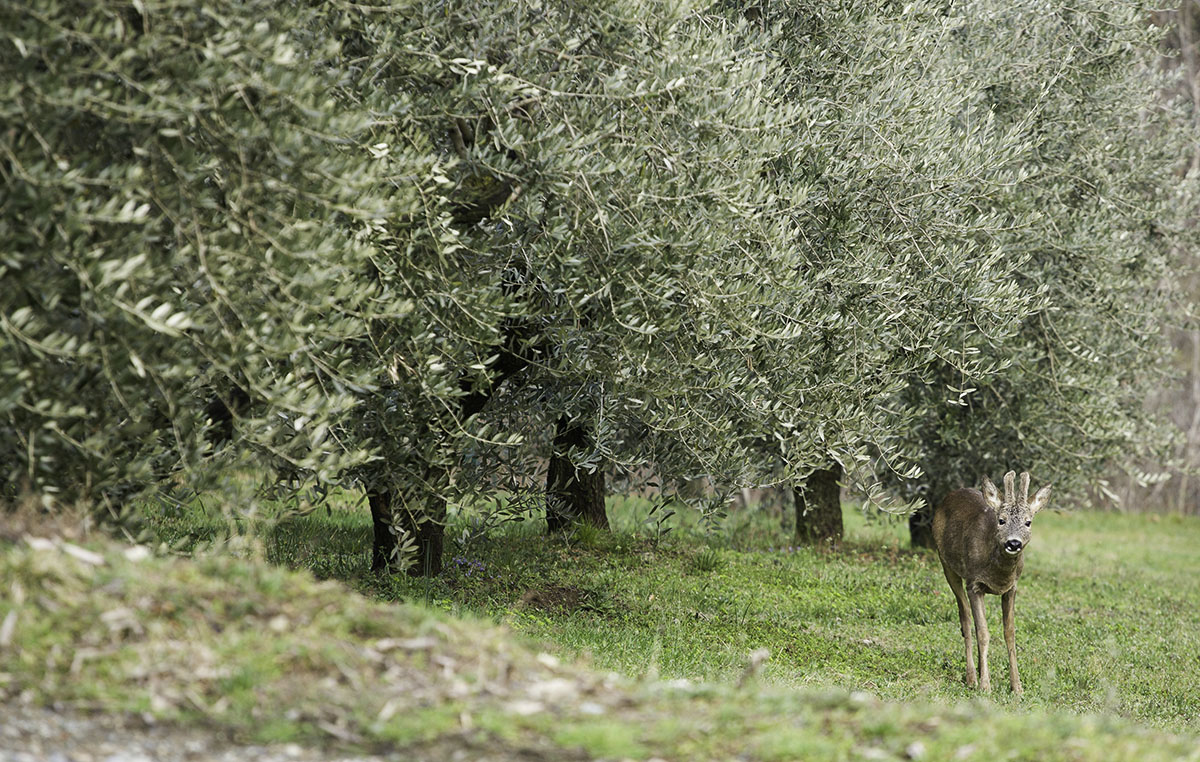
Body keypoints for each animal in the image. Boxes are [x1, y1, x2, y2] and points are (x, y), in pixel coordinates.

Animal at [926, 468, 1051, 696]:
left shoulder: (1012, 588)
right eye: (1001, 520)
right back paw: (971, 678)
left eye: (1028, 522)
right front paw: (985, 686)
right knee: (965, 619)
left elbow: (1009, 633)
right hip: (947, 565)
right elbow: (983, 633)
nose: (1013, 543)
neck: (998, 574)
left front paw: (1017, 686)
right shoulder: (974, 584)